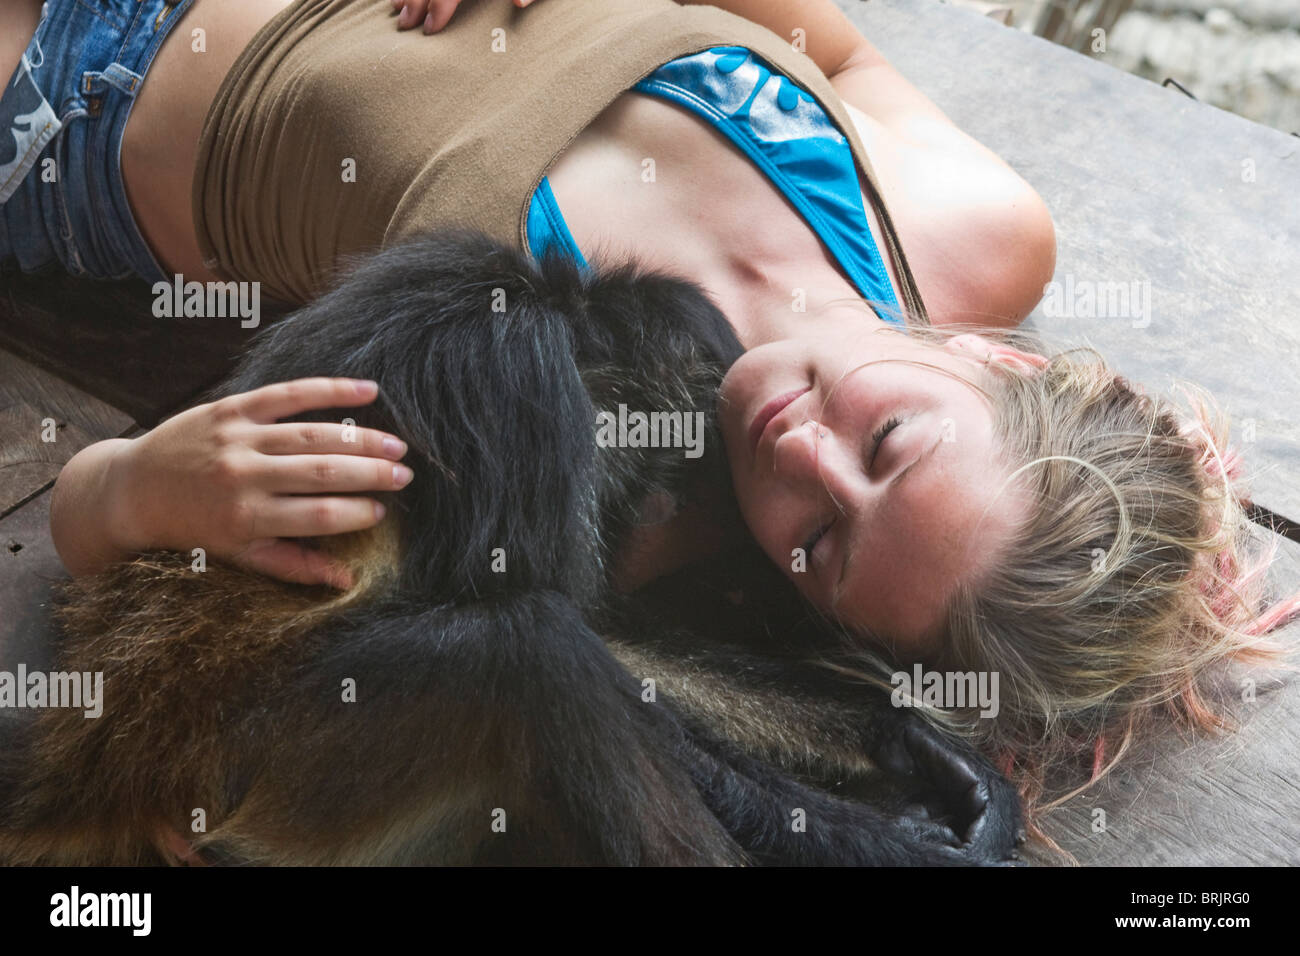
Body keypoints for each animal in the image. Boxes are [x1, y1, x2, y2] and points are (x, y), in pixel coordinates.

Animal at [0, 230, 1019, 868]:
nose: (663, 489)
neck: (555, 304)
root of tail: (104, 765)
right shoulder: (524, 383)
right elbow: (567, 627)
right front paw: (886, 840)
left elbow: (602, 627)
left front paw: (908, 742)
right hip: (265, 763)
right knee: (527, 652)